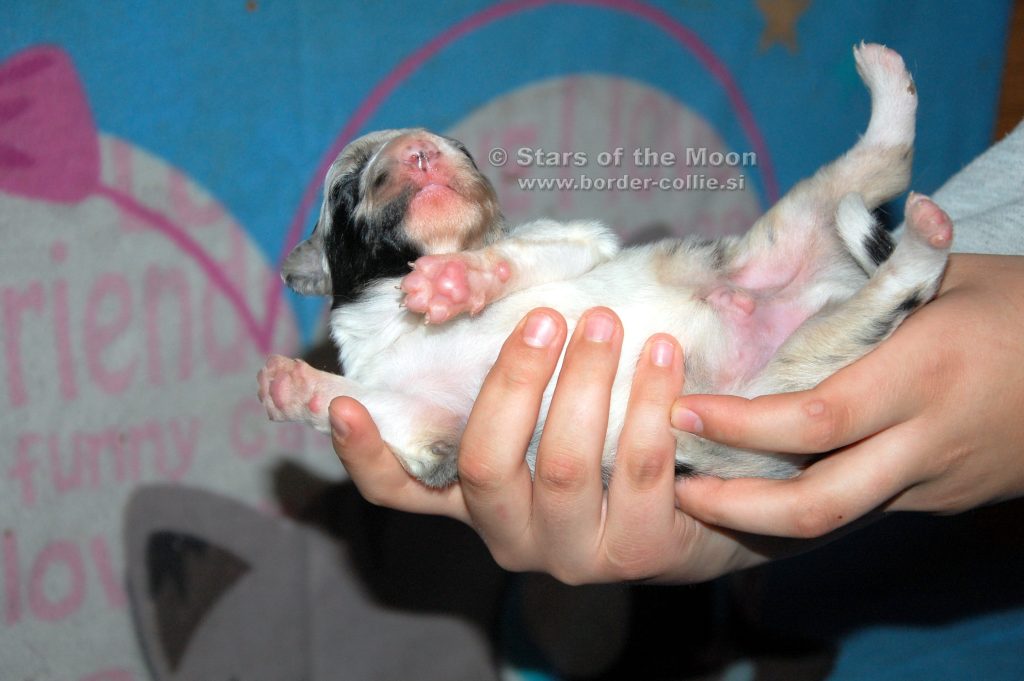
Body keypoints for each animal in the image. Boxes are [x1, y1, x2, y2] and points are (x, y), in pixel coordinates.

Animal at [258, 44, 952, 487]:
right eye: (347, 188)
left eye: (462, 149)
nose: (419, 148)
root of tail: (831, 288)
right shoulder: (433, 430)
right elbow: (370, 402)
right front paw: (291, 387)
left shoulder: (577, 238)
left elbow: (512, 255)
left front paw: (457, 280)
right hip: (795, 366)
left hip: (806, 298)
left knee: (889, 182)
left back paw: (888, 89)